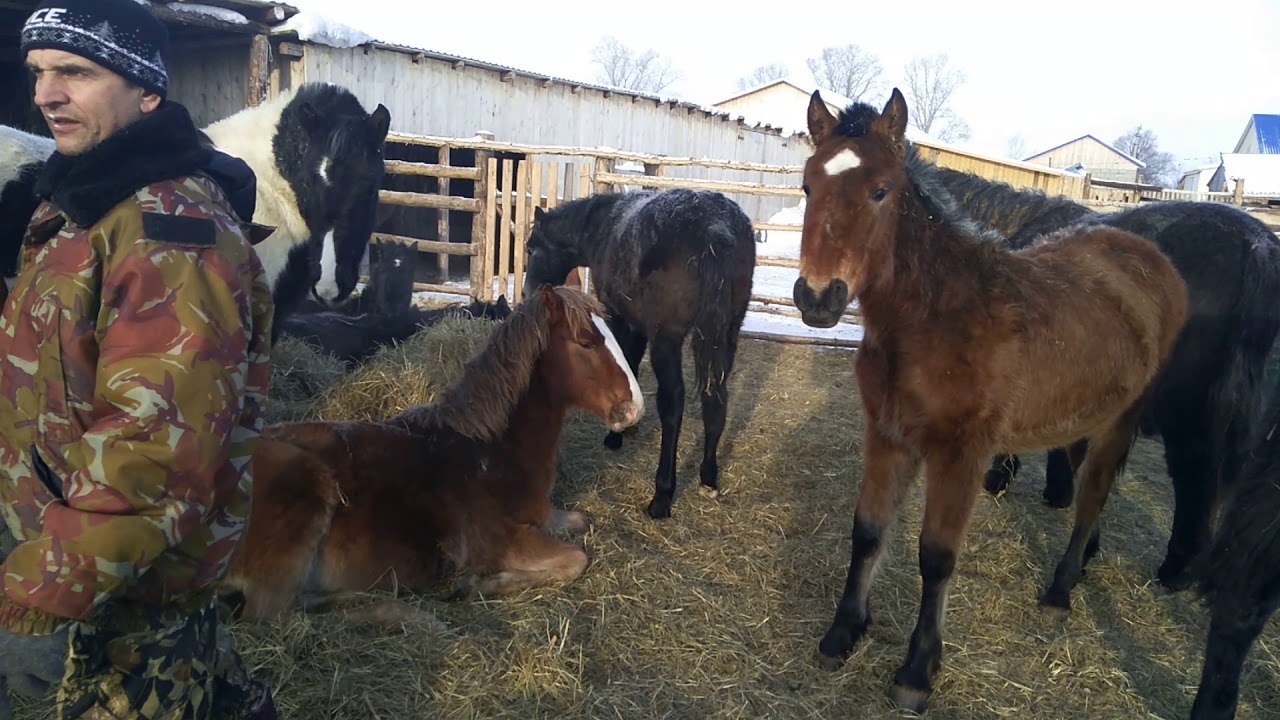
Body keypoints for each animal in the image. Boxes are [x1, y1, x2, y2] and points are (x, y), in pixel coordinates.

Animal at [220, 283, 645, 620]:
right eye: (587, 343)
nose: (634, 409)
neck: (491, 450)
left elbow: (581, 522)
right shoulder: (502, 541)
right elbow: (576, 559)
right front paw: (475, 583)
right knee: (276, 616)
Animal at [522, 188, 752, 517]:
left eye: (531, 249)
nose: (526, 293)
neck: (603, 225)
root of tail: (716, 229)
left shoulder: (622, 319)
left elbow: (626, 363)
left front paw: (617, 433)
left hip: (667, 340)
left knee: (672, 405)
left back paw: (662, 496)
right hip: (725, 335)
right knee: (716, 400)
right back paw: (708, 478)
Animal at [788, 87, 1187, 707]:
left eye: (881, 190)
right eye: (808, 185)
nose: (818, 297)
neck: (935, 322)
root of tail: (1147, 257)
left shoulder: (962, 454)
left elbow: (936, 556)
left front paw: (916, 672)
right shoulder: (887, 434)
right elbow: (868, 532)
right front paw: (842, 634)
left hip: (1119, 421)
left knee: (1093, 496)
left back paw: (1060, 590)